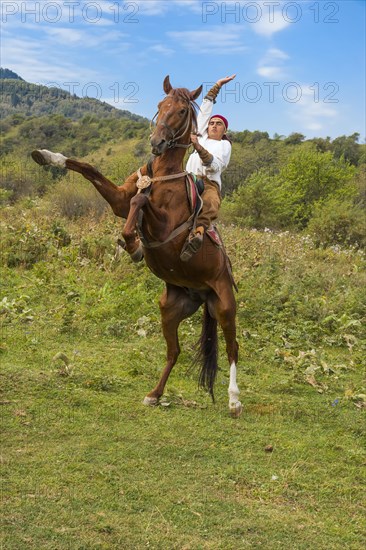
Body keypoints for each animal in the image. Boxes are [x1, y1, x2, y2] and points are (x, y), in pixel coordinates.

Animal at [31, 75, 242, 416]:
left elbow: (140, 201)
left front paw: (132, 244)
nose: (156, 143)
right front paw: (49, 156)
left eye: (181, 110)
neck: (162, 176)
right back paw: (154, 394)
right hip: (171, 308)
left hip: (224, 304)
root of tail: (204, 293)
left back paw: (234, 400)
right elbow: (92, 170)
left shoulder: (166, 228)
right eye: (160, 104)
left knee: (233, 346)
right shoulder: (118, 199)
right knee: (174, 351)